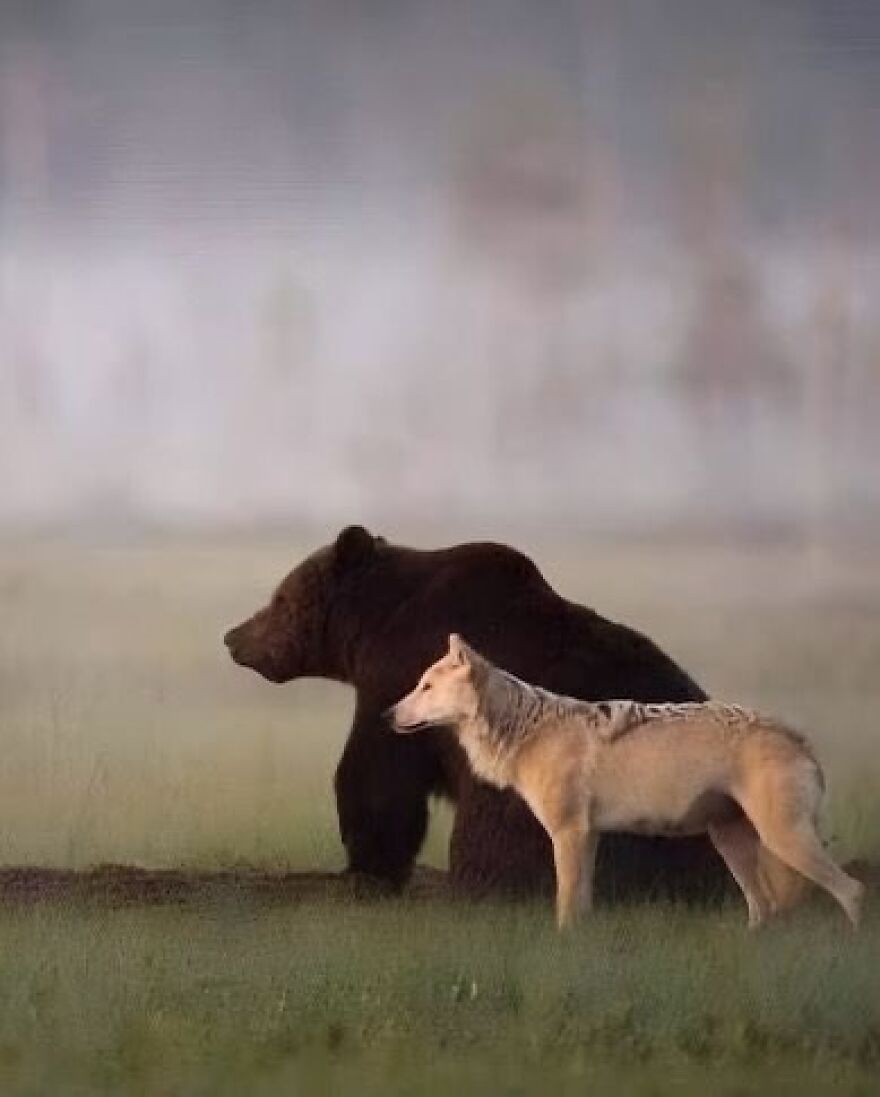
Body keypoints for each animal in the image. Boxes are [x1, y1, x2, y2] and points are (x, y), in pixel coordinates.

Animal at [224, 525, 728, 902]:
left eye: (279, 598)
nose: (233, 636)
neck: (375, 624)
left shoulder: (397, 677)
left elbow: (378, 775)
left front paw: (365, 869)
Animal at [388, 634, 865, 930]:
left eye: (425, 686)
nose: (386, 714)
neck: (525, 729)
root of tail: (796, 735)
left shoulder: (568, 834)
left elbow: (565, 904)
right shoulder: (588, 836)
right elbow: (582, 904)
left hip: (783, 840)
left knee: (852, 891)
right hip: (732, 844)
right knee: (765, 909)